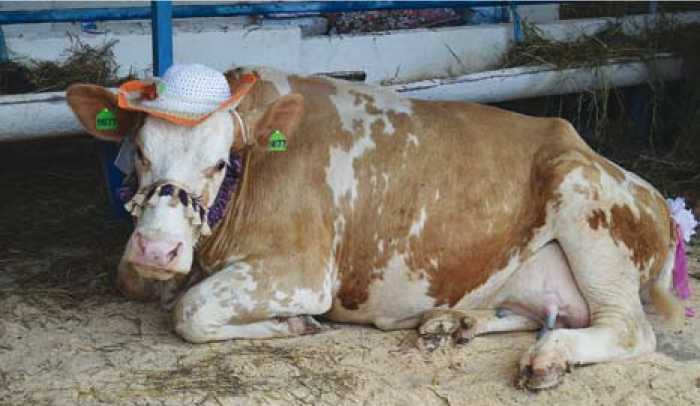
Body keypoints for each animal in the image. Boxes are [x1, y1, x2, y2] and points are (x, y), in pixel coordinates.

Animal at [66, 64, 692, 390]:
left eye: (219, 162)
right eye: (139, 151)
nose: (159, 247)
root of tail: (653, 194)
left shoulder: (302, 270)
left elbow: (190, 311)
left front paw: (292, 325)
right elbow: (137, 281)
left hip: (586, 203)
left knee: (628, 329)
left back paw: (549, 357)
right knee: (544, 309)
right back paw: (453, 322)